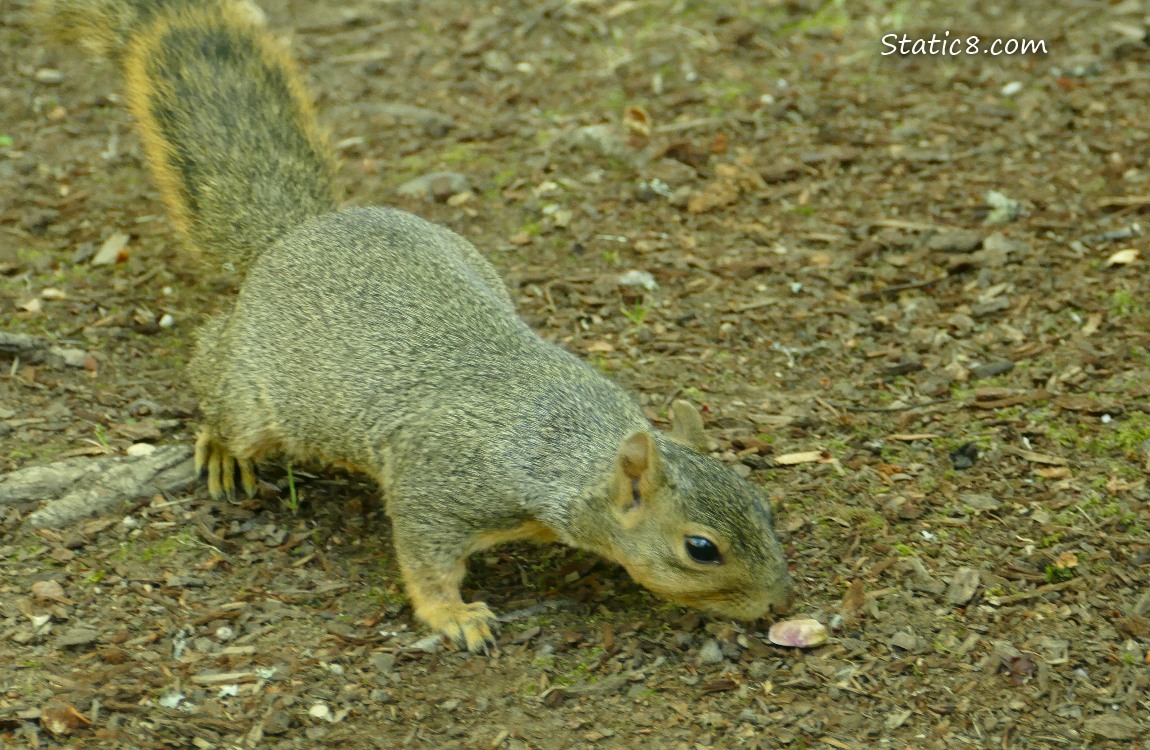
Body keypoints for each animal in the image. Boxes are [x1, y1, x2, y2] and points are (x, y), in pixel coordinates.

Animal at [42, 0, 795, 651]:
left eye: (762, 506)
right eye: (701, 549)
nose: (774, 602)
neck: (570, 452)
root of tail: (296, 235)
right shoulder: (440, 485)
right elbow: (426, 558)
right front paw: (453, 617)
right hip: (254, 393)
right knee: (213, 370)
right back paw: (222, 449)